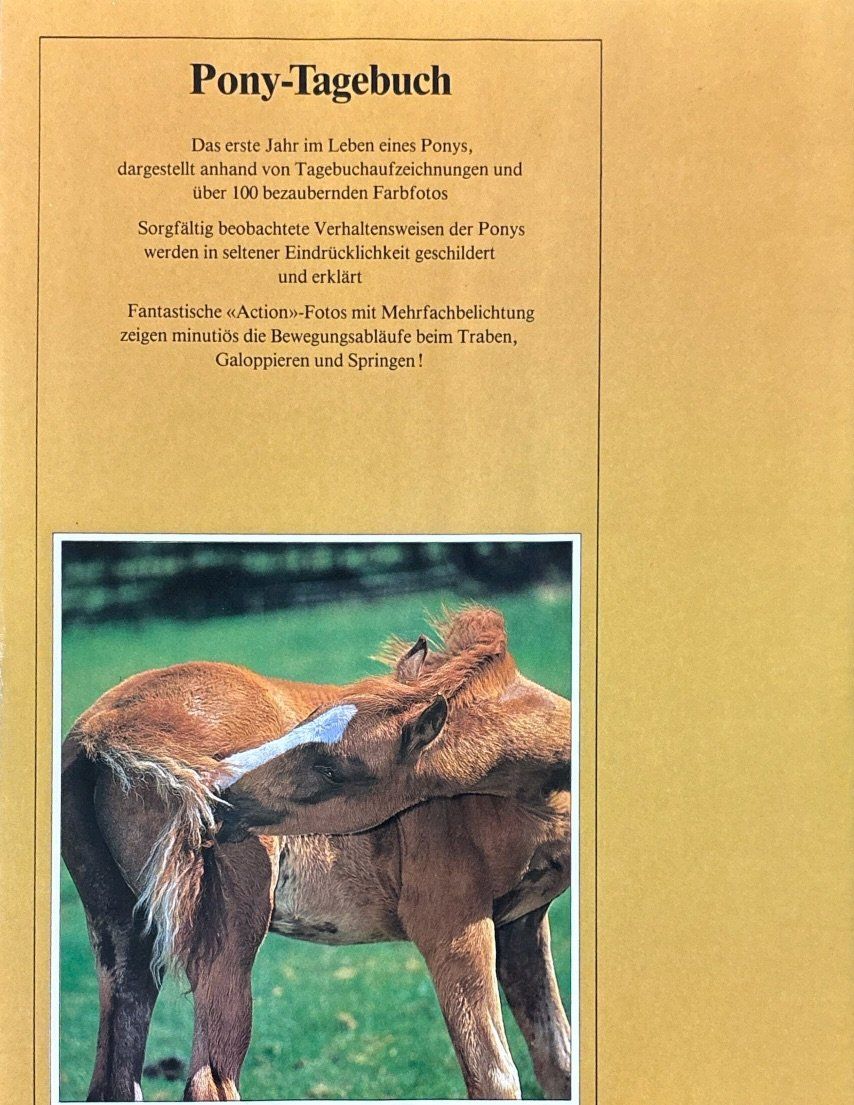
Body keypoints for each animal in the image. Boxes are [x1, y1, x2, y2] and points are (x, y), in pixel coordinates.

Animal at [61, 607, 571, 1101]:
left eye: (332, 770)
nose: (218, 791)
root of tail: (103, 730)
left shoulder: (522, 924)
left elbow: (558, 1062)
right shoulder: (451, 922)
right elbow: (495, 1077)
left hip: (122, 933)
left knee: (112, 1080)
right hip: (228, 937)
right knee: (210, 1081)